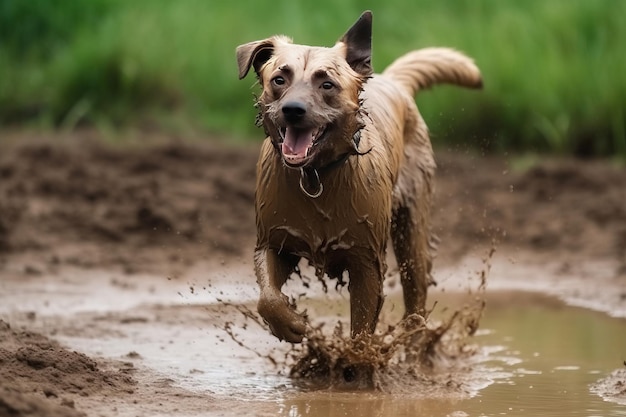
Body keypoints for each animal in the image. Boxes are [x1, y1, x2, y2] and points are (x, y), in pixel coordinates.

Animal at [236, 10, 480, 342]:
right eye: (279, 79)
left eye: (327, 84)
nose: (292, 109)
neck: (315, 176)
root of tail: (392, 81)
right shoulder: (273, 242)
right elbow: (268, 298)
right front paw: (291, 324)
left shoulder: (366, 261)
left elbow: (362, 332)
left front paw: (355, 354)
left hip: (413, 228)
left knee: (416, 293)